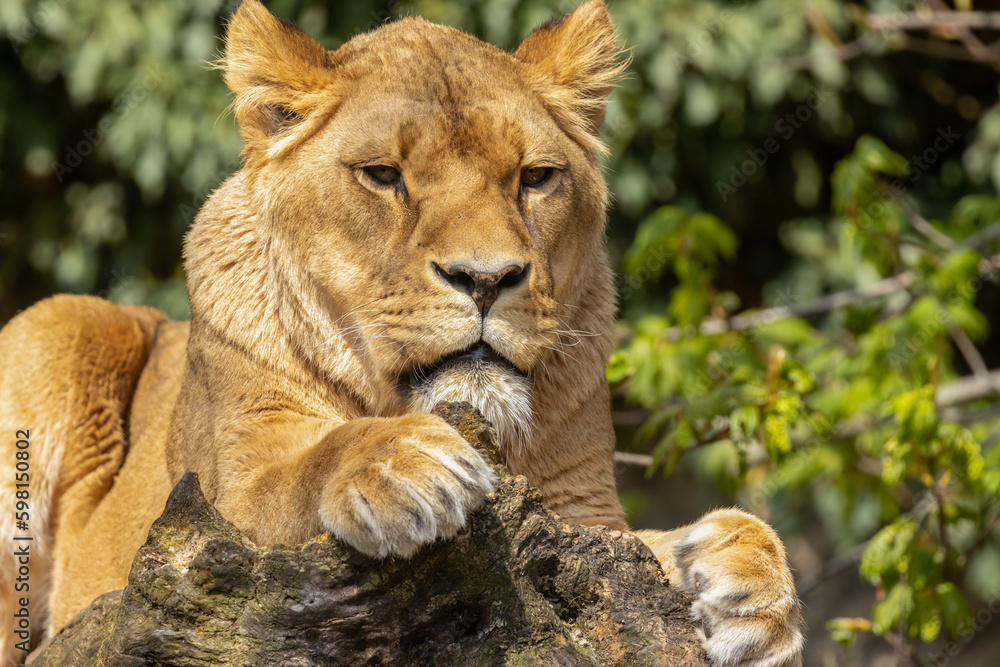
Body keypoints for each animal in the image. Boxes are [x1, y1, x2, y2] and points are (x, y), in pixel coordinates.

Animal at [0, 1, 804, 665]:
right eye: (384, 176)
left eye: (536, 177)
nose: (486, 278)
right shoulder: (212, 510)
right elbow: (304, 468)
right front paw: (402, 464)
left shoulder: (585, 524)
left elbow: (670, 545)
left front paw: (747, 585)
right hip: (61, 325)